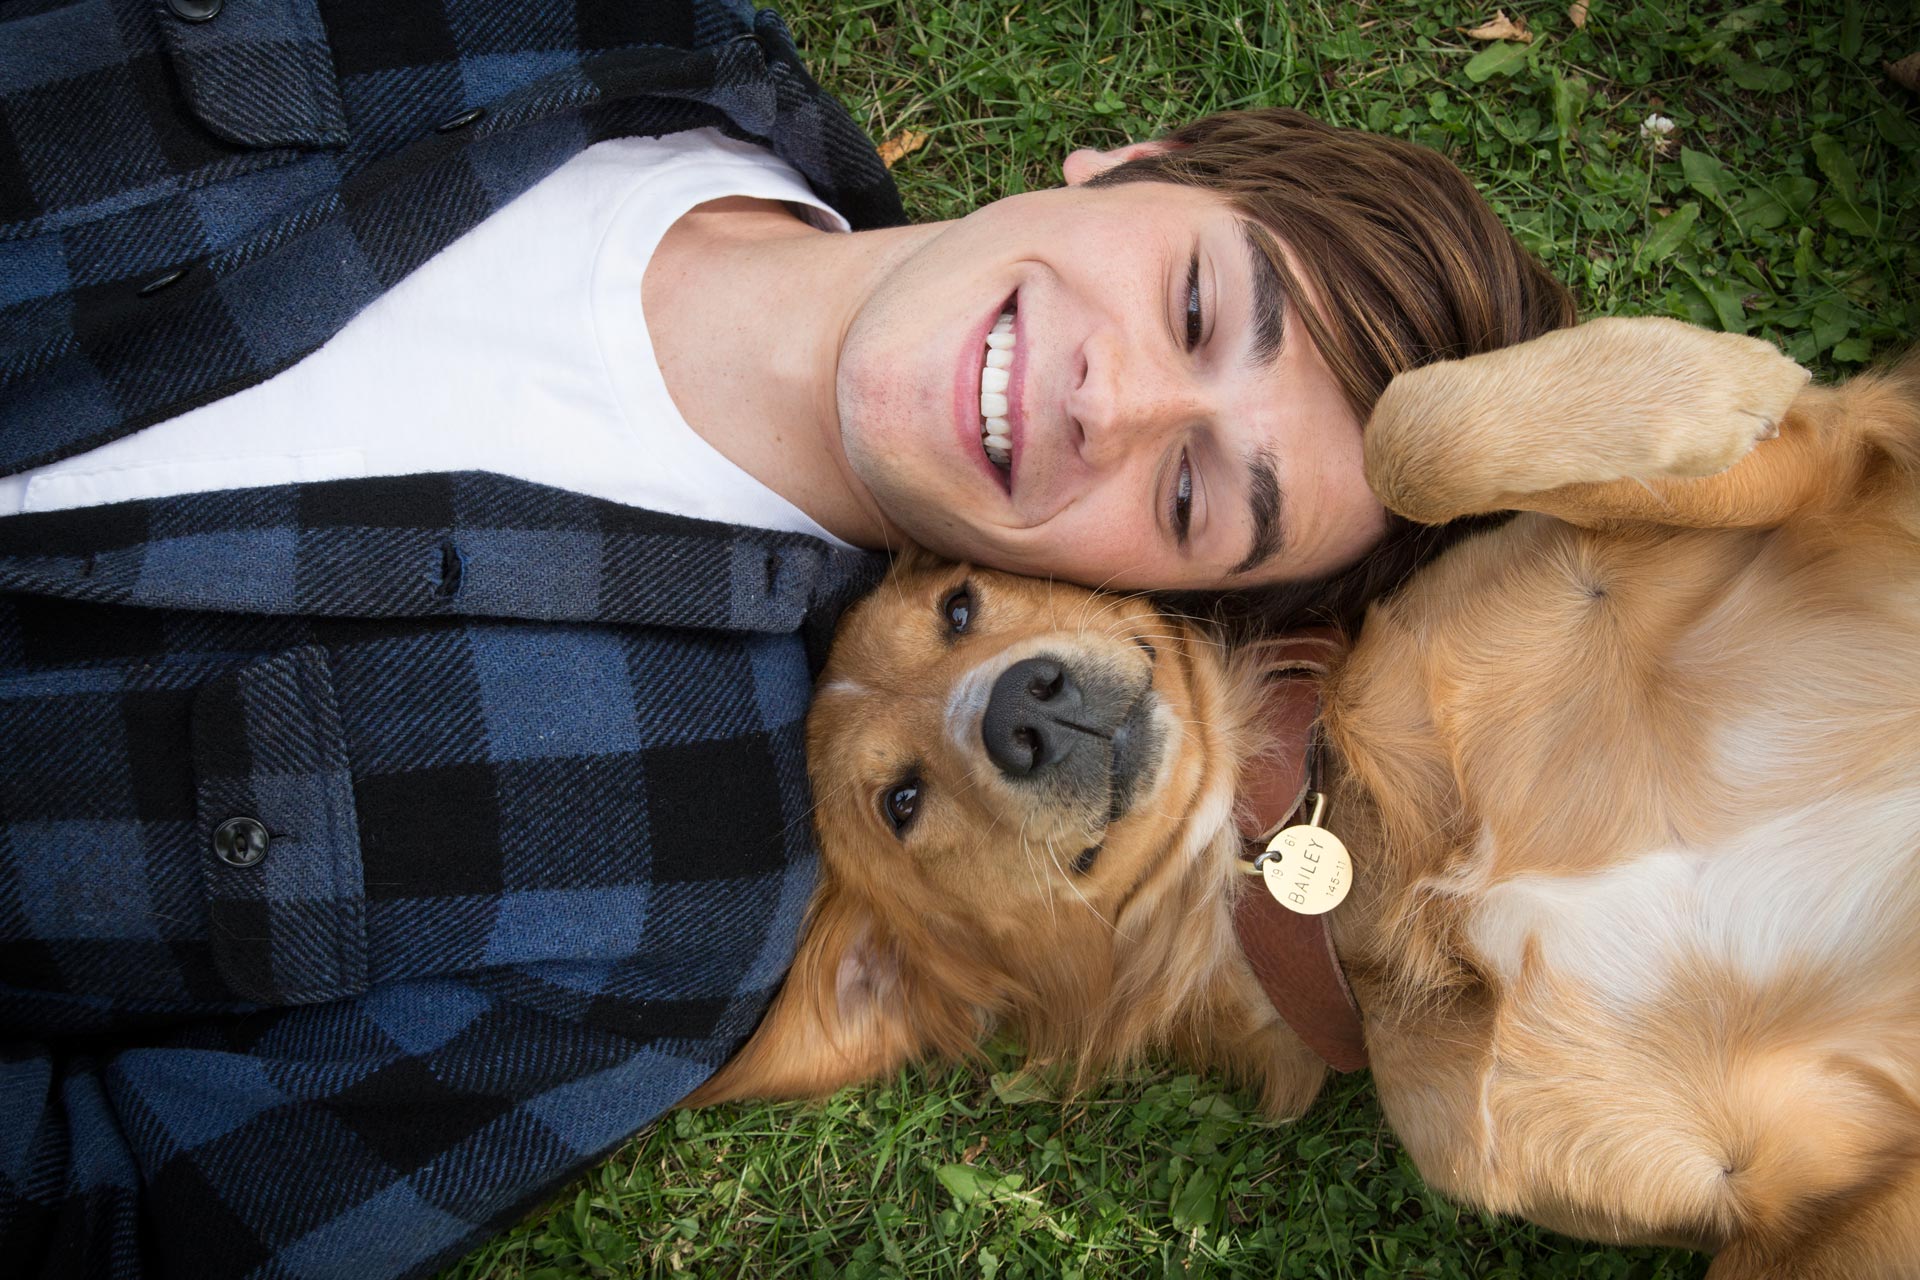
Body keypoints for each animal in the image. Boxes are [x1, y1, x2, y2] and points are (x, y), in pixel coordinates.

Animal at [691, 314, 1920, 1274]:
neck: (1398, 864)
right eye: (901, 804)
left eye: (958, 606)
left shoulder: (1827, 474)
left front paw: (1709, 382)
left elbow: (1407, 436)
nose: (1021, 712)